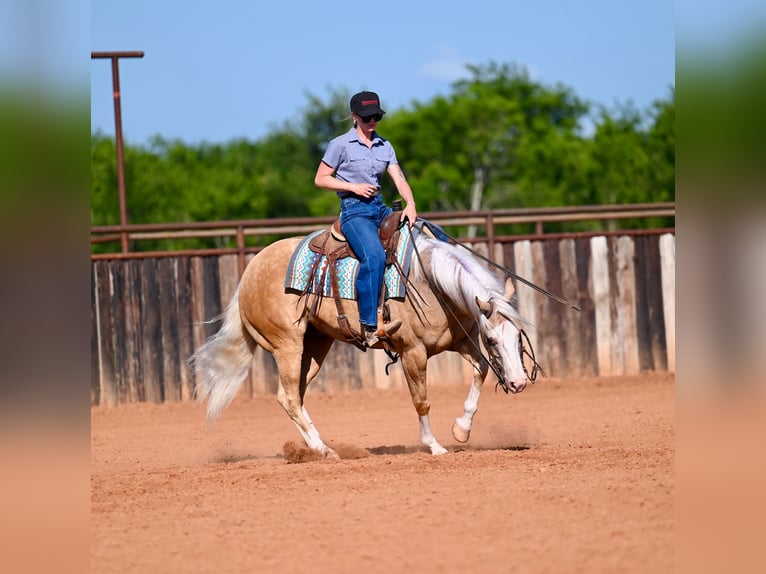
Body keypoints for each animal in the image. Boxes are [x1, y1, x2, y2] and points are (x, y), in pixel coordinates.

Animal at [192, 225, 536, 457]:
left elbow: (481, 370)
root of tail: (249, 272)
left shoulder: (458, 342)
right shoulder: (413, 352)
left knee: (295, 397)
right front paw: (434, 445)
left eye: (519, 335)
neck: (429, 282)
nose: (519, 383)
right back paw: (323, 451)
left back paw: (319, 447)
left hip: (314, 347)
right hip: (287, 345)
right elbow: (421, 399)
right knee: (288, 397)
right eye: (491, 339)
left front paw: (461, 429)